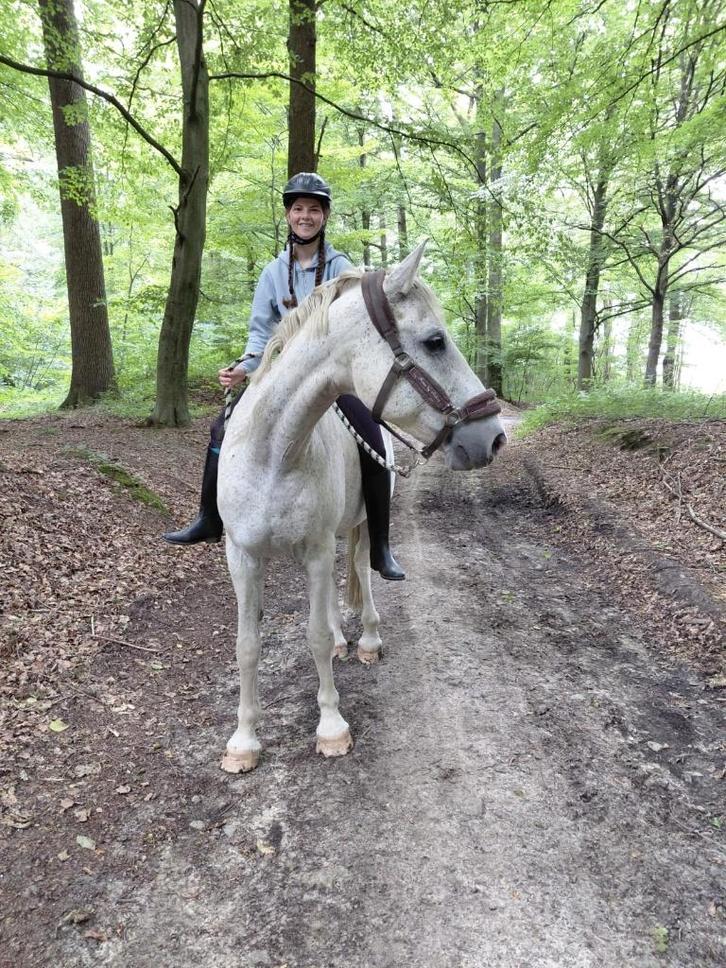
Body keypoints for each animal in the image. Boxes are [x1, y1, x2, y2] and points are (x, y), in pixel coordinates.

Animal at [217, 241, 506, 773]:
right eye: (435, 341)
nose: (494, 437)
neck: (274, 452)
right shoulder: (242, 557)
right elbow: (247, 645)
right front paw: (243, 739)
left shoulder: (314, 549)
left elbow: (311, 636)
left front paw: (331, 728)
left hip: (366, 523)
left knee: (363, 572)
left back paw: (367, 639)